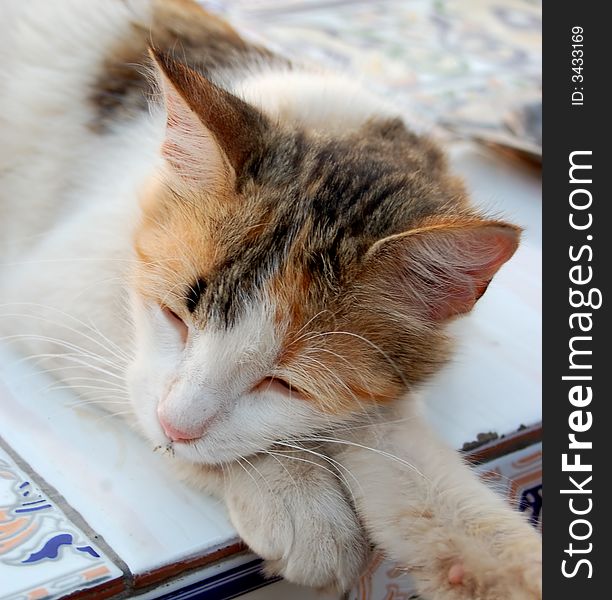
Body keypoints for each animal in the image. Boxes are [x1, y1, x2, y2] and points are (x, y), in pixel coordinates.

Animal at [1, 0, 540, 596]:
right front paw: (297, 498)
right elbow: (138, 384)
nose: (175, 425)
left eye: (286, 384)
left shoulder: (379, 398)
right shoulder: (53, 289)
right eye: (173, 316)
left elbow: (424, 483)